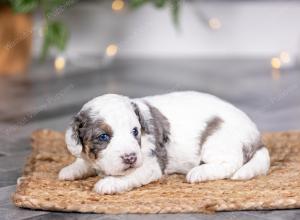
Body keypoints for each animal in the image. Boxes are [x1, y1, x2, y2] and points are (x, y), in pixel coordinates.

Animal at [58, 91, 270, 194]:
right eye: (103, 137)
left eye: (135, 131)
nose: (131, 158)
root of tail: (256, 136)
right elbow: (83, 160)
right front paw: (70, 170)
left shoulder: (150, 165)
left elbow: (129, 175)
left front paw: (109, 182)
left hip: (217, 141)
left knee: (230, 163)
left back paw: (199, 172)